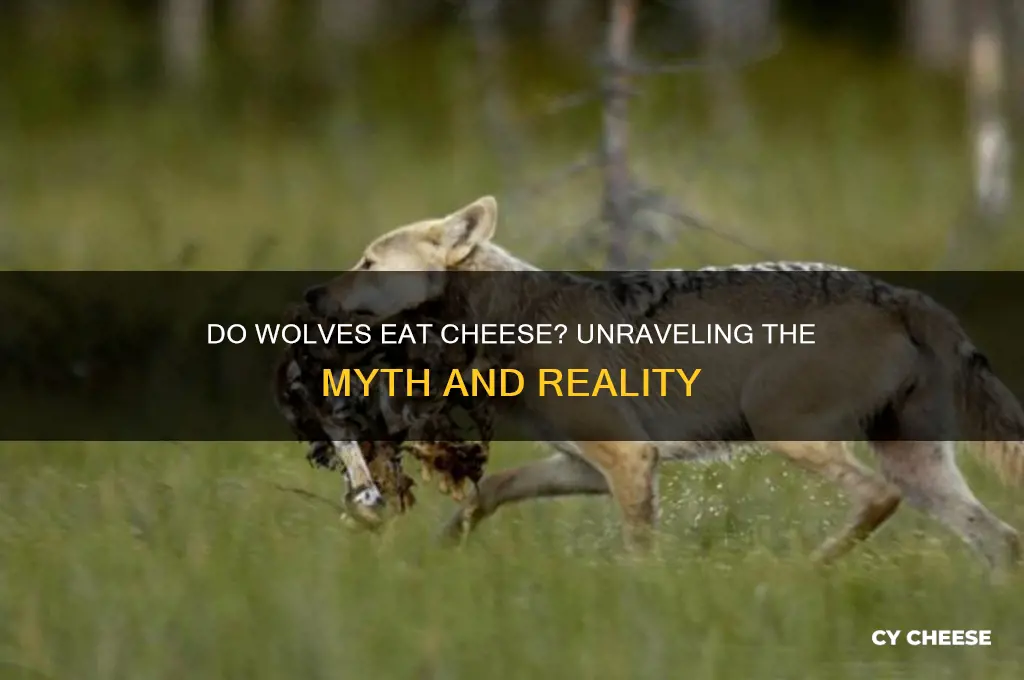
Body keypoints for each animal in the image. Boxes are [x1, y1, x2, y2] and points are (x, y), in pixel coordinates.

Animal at [303, 195, 1024, 570]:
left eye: (367, 264)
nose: (310, 295)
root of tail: (901, 293)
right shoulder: (588, 466)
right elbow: (494, 489)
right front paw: (443, 546)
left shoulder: (628, 458)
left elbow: (637, 553)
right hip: (919, 468)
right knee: (1001, 538)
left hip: (791, 432)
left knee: (878, 499)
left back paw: (805, 572)